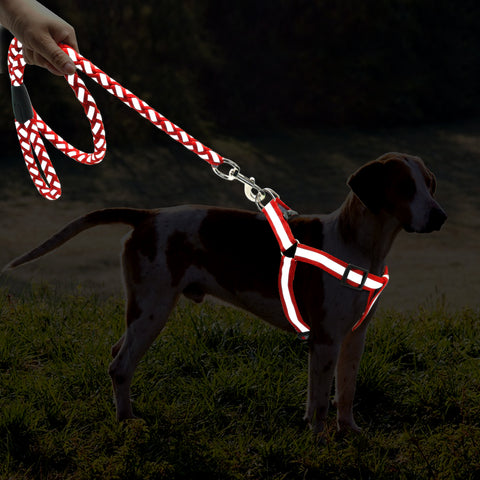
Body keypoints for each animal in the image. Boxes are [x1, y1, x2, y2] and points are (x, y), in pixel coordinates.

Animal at [4, 152, 446, 434]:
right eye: (405, 187)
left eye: (429, 185)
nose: (440, 215)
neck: (359, 245)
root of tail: (148, 215)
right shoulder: (324, 341)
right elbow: (320, 401)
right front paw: (319, 441)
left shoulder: (353, 337)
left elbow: (347, 392)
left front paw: (348, 431)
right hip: (153, 309)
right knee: (120, 366)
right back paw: (127, 422)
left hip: (144, 311)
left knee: (117, 355)